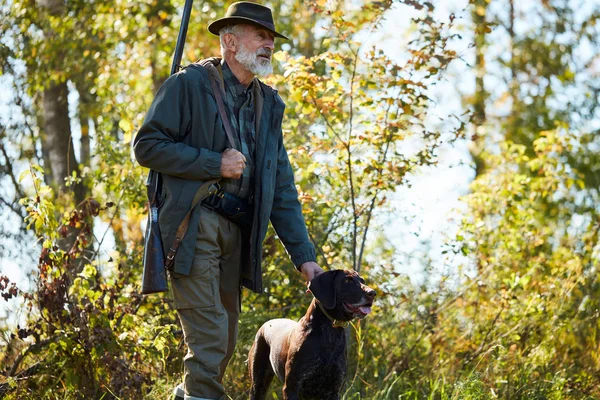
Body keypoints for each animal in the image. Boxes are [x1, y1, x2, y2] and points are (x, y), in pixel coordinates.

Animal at [248, 268, 376, 400]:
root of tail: (265, 324)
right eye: (347, 280)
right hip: (258, 384)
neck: (330, 332)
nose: (373, 293)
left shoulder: (333, 391)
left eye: (362, 281)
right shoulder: (291, 388)